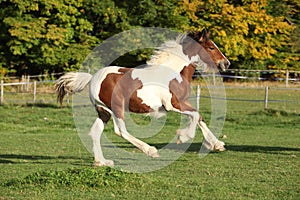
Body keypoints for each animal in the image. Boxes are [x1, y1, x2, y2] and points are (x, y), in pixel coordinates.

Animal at [55, 29, 230, 167]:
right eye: (211, 47)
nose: (226, 63)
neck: (172, 72)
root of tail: (92, 78)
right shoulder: (173, 104)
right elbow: (195, 116)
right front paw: (183, 137)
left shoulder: (183, 102)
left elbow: (199, 116)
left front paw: (217, 145)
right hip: (117, 108)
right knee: (121, 131)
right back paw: (150, 150)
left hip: (103, 111)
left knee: (96, 131)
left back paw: (102, 162)